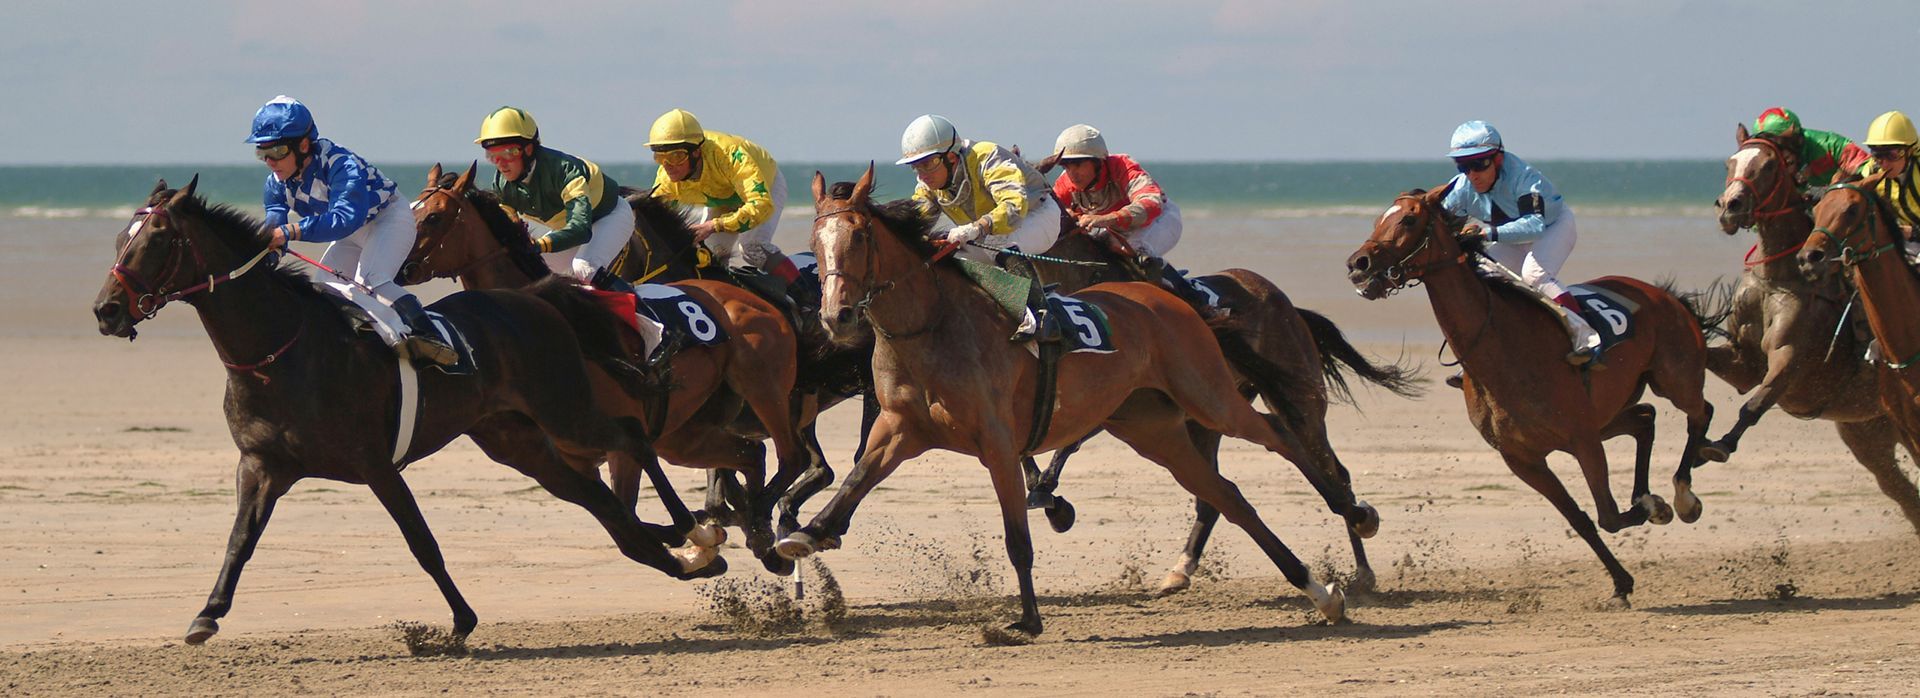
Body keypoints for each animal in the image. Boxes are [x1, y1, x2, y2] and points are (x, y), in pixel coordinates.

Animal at [92, 177, 723, 644]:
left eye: (155, 240)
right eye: (120, 236)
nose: (106, 310)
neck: (283, 351)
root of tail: (535, 298)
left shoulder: (375, 464)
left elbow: (422, 542)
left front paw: (460, 623)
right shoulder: (262, 463)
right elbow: (239, 540)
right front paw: (207, 613)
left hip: (565, 407)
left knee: (632, 438)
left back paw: (697, 532)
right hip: (518, 442)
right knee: (604, 506)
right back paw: (682, 558)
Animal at [403, 163, 809, 573]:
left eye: (434, 217)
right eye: (411, 212)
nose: (401, 268)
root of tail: (753, 296)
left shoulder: (622, 443)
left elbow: (632, 512)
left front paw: (699, 537)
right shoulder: (575, 459)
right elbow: (626, 520)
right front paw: (701, 543)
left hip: (761, 384)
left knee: (792, 456)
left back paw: (762, 521)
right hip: (686, 437)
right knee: (750, 455)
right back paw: (759, 535)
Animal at [776, 166, 1353, 636]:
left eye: (860, 234)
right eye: (814, 239)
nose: (836, 316)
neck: (932, 325)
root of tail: (1173, 300)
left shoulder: (998, 443)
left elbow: (1017, 538)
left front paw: (1026, 621)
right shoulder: (898, 428)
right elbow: (853, 483)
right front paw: (807, 535)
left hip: (1208, 395)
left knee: (1279, 436)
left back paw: (1350, 510)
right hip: (1154, 431)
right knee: (1227, 496)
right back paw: (1319, 594)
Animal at [1020, 229, 1423, 593]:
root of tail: (1285, 302)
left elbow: (1068, 443)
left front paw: (1050, 496)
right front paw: (1045, 492)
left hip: (1293, 401)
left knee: (1331, 470)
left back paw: (1363, 558)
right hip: (1205, 419)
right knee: (1213, 497)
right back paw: (1180, 569)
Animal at [1346, 184, 1717, 606]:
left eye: (1408, 219)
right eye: (1378, 219)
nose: (1358, 263)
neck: (1503, 348)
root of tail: (1663, 294)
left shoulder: (1582, 440)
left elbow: (1607, 513)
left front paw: (1655, 508)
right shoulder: (1523, 458)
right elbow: (1582, 519)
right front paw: (1621, 582)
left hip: (1674, 378)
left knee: (1700, 411)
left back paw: (1685, 495)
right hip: (1608, 414)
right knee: (1645, 419)